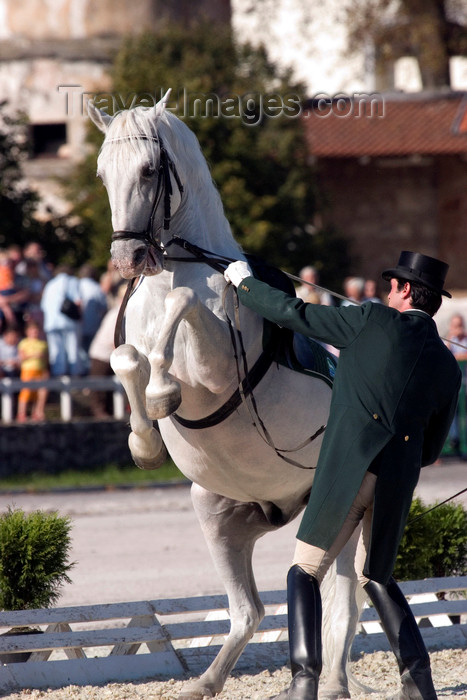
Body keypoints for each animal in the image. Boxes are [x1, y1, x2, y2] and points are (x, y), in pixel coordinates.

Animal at [87, 94, 366, 700]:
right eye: (101, 174)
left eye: (150, 170)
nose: (126, 260)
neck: (177, 270)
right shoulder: (128, 348)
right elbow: (128, 361)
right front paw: (144, 441)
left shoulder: (215, 372)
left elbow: (183, 310)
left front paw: (163, 392)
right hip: (219, 514)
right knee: (249, 612)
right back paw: (205, 682)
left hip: (341, 515)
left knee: (341, 600)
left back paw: (332, 683)